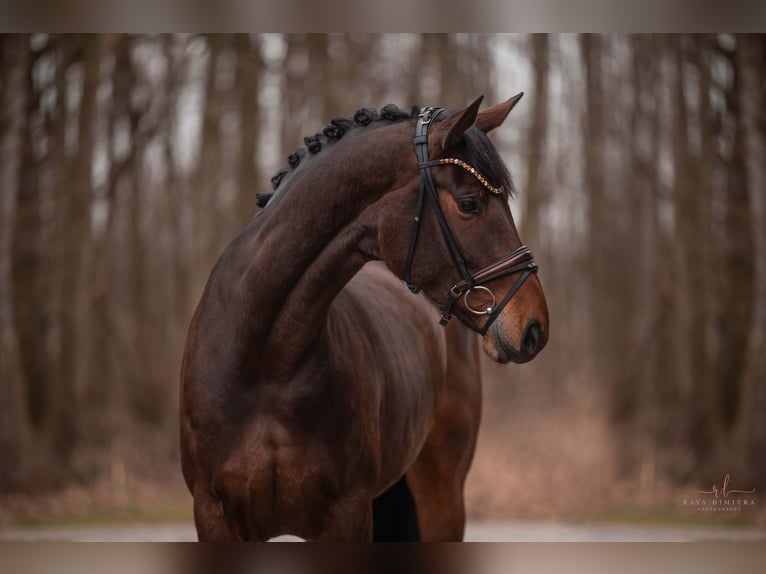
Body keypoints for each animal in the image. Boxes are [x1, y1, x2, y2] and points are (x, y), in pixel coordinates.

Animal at [180, 95, 548, 544]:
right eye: (469, 204)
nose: (534, 326)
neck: (266, 360)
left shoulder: (349, 514)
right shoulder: (212, 514)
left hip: (442, 494)